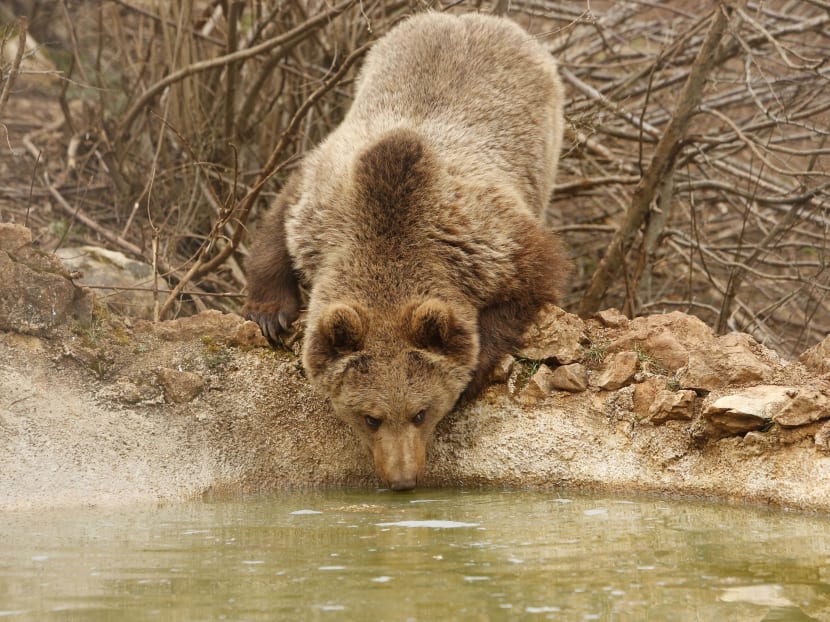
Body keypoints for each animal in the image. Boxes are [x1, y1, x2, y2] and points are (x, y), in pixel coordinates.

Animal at [244, 12, 569, 491]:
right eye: (370, 417)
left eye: (420, 412)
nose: (402, 478)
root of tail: (469, 17)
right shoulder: (321, 202)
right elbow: (277, 230)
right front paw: (270, 314)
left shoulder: (490, 239)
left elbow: (529, 283)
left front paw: (475, 365)